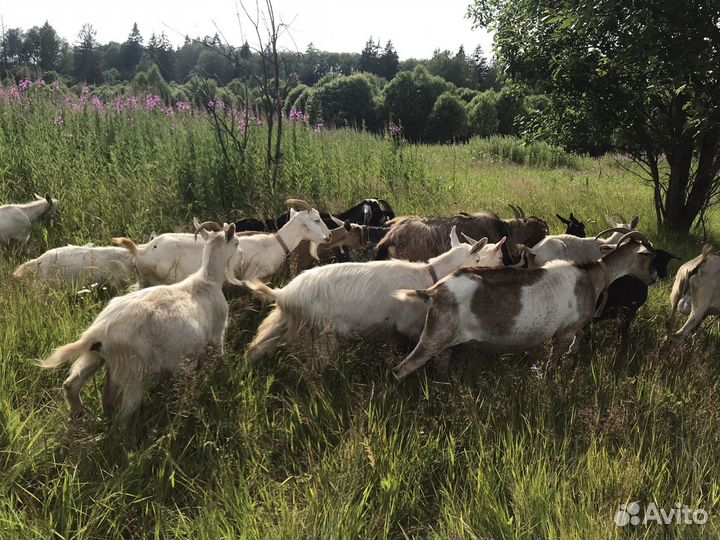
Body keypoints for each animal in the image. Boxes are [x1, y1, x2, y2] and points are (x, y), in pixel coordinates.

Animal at [39, 222, 243, 421]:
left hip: (96, 357)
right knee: (123, 414)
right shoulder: (217, 336)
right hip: (134, 371)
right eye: (236, 243)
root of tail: (98, 332)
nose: (241, 255)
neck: (207, 281)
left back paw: (79, 414)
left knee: (72, 385)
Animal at [243, 227, 507, 362]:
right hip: (320, 333)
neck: (428, 276)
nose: (504, 267)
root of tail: (284, 294)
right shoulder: (410, 325)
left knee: (256, 347)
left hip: (281, 322)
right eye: (484, 257)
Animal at [392, 232, 662, 380]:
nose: (654, 278)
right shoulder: (565, 331)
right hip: (435, 336)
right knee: (401, 369)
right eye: (648, 256)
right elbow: (553, 366)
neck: (591, 277)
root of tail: (435, 291)